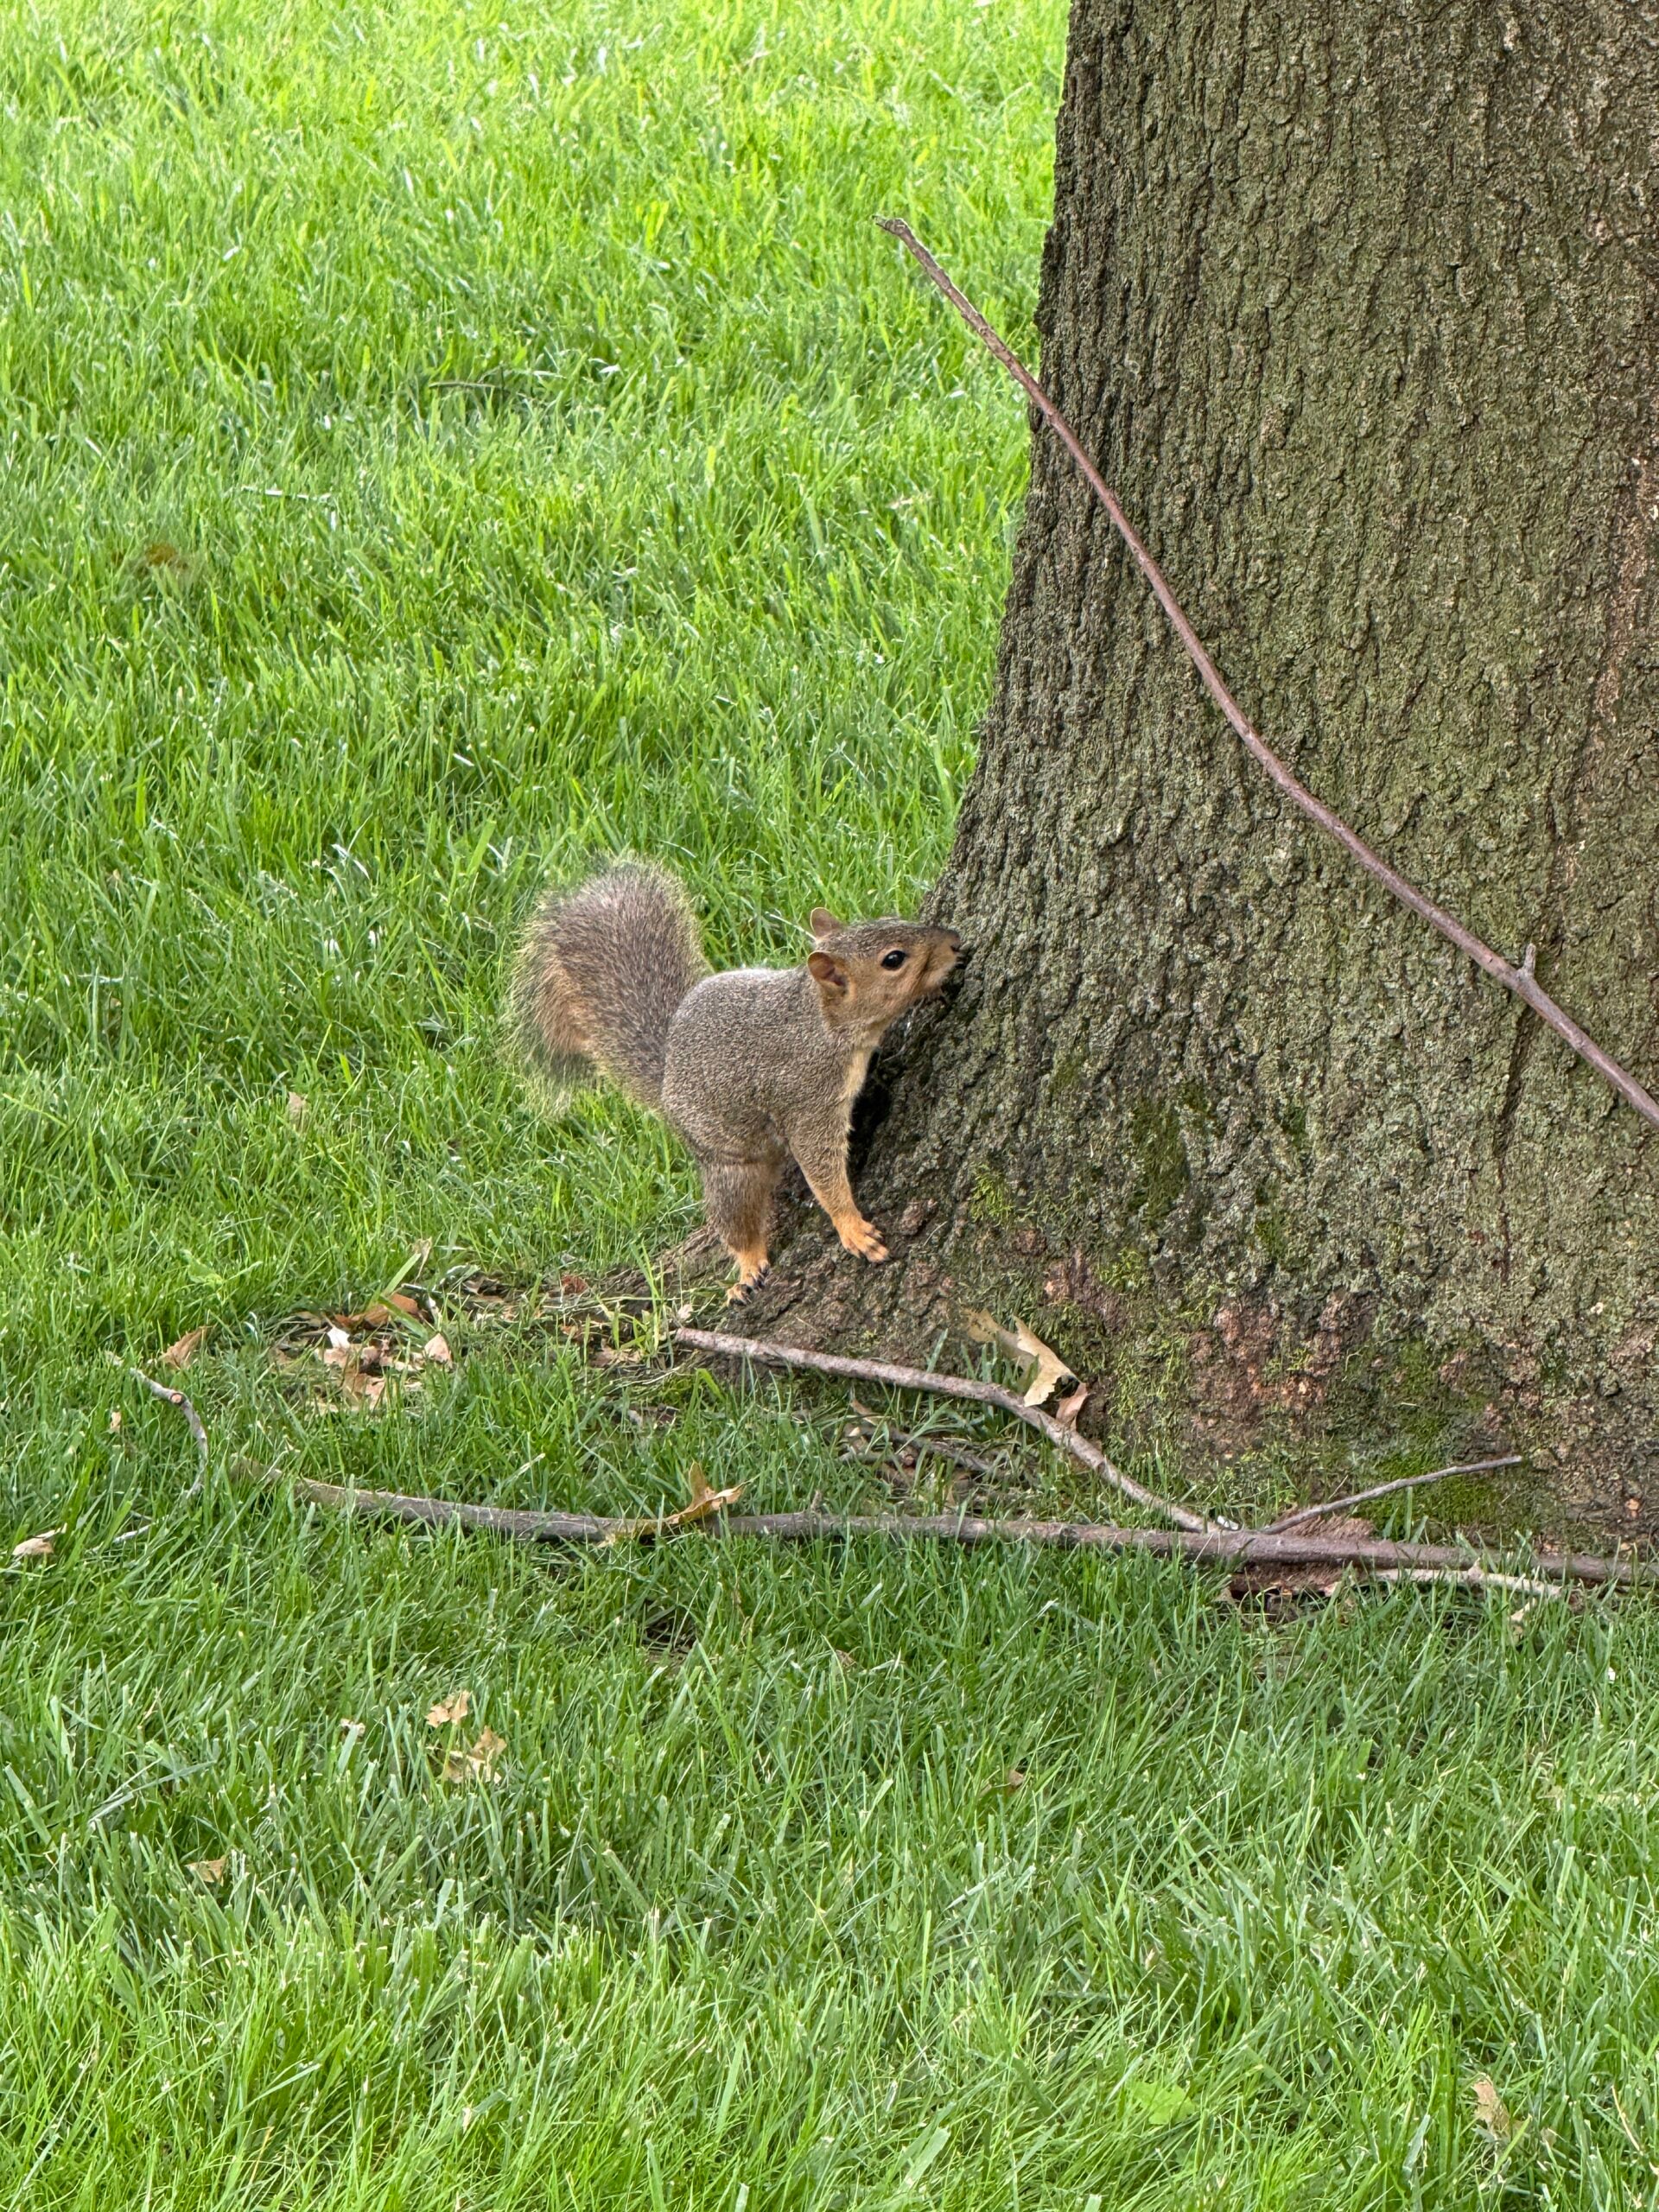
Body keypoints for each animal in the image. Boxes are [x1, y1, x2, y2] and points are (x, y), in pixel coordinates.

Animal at [511, 861, 963, 1301]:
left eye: (894, 919)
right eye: (894, 960)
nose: (955, 942)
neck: (821, 1022)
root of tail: (667, 1073)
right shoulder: (805, 1099)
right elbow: (820, 1166)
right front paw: (851, 1226)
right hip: (729, 1169)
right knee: (737, 1221)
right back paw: (748, 1267)